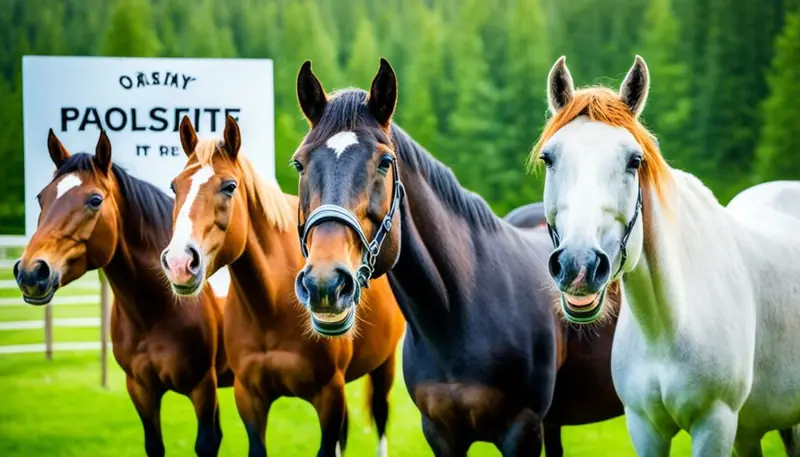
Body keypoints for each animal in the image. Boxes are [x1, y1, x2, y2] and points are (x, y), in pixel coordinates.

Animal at [14, 130, 231, 457]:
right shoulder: (140, 390)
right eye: (41, 197)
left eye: (94, 200)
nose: (30, 272)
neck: (158, 312)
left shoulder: (203, 387)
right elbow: (154, 445)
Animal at [159, 115, 405, 457]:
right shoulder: (250, 397)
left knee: (381, 419)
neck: (271, 307)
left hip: (384, 366)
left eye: (229, 186)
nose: (180, 262)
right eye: (175, 186)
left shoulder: (329, 395)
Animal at [290, 57, 615, 456]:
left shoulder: (522, 431)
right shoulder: (441, 433)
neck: (457, 313)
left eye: (384, 162)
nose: (325, 283)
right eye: (299, 164)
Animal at [534, 54, 800, 456]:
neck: (669, 323)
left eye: (634, 160)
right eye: (549, 158)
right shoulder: (645, 428)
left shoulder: (715, 425)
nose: (578, 266)